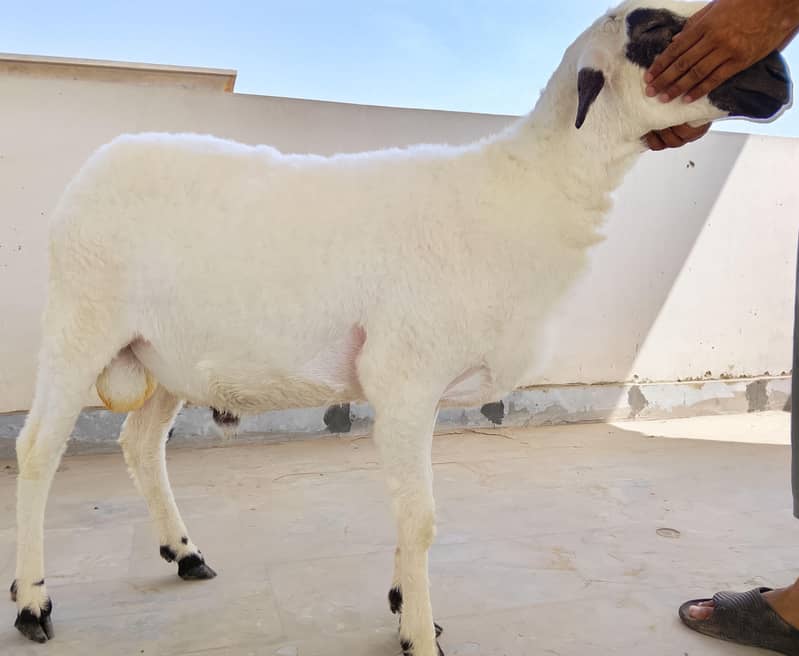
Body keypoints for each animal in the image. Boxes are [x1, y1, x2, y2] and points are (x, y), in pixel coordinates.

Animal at [10, 1, 791, 653]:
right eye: (652, 28)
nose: (780, 73)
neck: (526, 190)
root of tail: (100, 161)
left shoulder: (417, 389)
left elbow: (406, 511)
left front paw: (402, 604)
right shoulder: (405, 375)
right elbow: (420, 519)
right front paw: (418, 633)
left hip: (162, 353)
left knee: (141, 446)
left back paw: (184, 553)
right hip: (81, 324)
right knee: (37, 451)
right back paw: (32, 603)